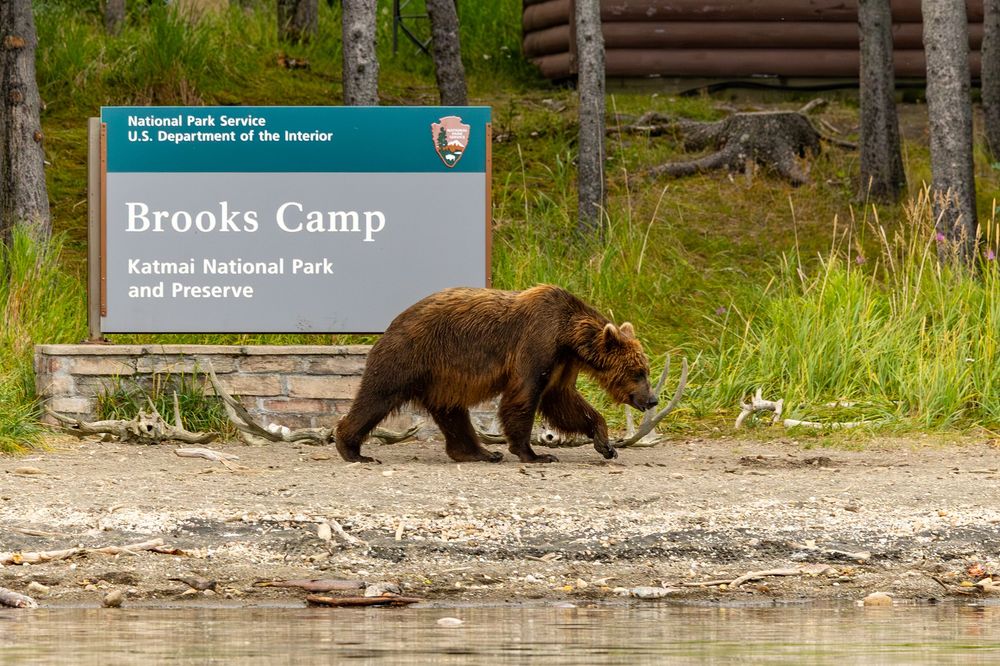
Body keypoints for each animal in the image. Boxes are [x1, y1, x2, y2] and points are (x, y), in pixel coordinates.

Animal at [334, 285, 658, 464]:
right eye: (638, 372)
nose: (652, 399)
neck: (569, 336)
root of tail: (393, 322)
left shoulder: (561, 362)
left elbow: (563, 401)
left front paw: (606, 445)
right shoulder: (537, 343)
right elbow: (524, 395)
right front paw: (535, 453)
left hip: (442, 377)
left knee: (451, 412)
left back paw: (481, 453)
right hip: (411, 355)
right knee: (377, 396)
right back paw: (352, 449)